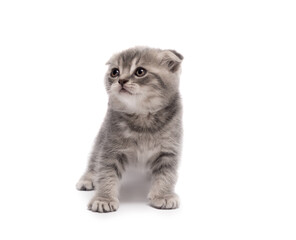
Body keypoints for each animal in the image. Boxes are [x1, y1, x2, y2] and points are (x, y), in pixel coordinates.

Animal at [76, 46, 183, 212]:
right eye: (115, 72)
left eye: (140, 71)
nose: (121, 80)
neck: (143, 118)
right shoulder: (111, 148)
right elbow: (106, 172)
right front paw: (103, 199)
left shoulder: (168, 150)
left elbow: (167, 174)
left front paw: (163, 196)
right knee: (94, 159)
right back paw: (88, 178)